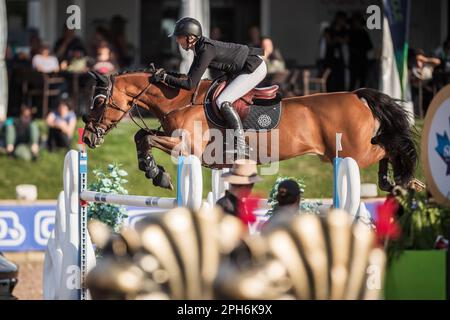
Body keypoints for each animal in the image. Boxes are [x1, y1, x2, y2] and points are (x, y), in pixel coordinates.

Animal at [81, 67, 418, 191]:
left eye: (99, 100)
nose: (87, 137)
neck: (179, 100)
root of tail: (357, 95)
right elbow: (142, 135)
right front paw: (155, 172)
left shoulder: (187, 147)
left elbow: (145, 137)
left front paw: (156, 173)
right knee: (386, 146)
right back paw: (391, 181)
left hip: (353, 153)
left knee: (390, 146)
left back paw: (404, 178)